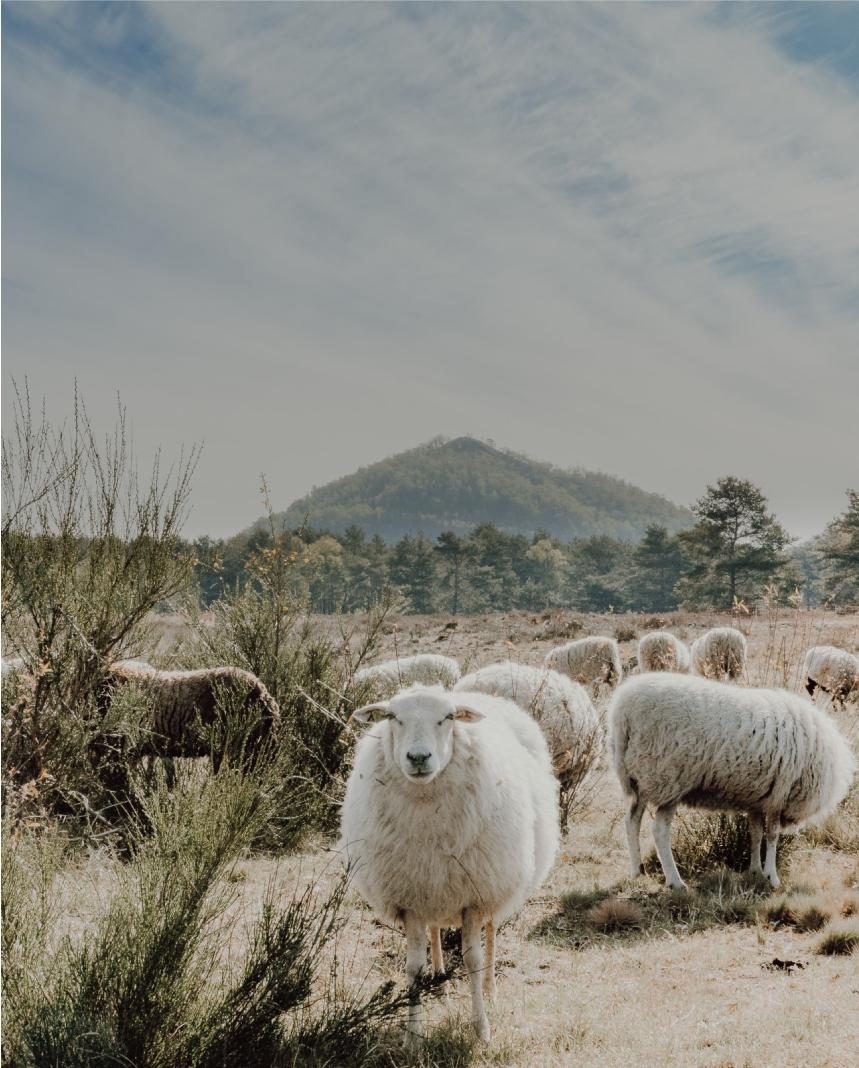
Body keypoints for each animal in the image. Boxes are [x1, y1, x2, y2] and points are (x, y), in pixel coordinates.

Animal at [339, 683, 559, 1042]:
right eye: (392, 717)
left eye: (449, 717)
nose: (418, 758)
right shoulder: (410, 897)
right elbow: (413, 966)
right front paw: (412, 1037)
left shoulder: (474, 897)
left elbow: (472, 959)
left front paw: (481, 1028)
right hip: (434, 884)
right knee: (435, 928)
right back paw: (440, 981)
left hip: (495, 878)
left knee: (492, 930)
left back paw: (491, 988)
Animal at [606, 674, 854, 892]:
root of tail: (623, 711)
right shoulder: (778, 795)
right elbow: (772, 835)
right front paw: (772, 877)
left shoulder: (759, 797)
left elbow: (755, 833)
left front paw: (755, 871)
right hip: (668, 777)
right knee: (659, 830)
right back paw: (675, 881)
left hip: (641, 777)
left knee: (632, 821)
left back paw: (638, 870)